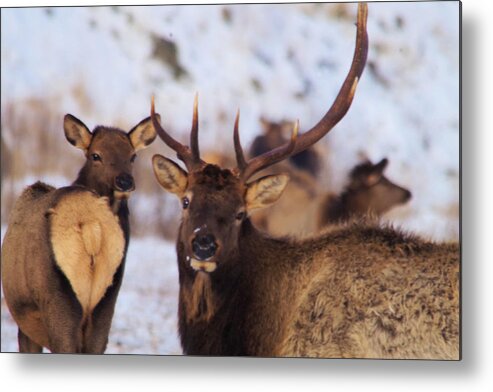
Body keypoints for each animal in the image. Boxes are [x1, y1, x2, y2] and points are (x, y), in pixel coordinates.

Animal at [0, 113, 156, 352]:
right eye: (96, 155)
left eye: (133, 156)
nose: (125, 181)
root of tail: (90, 225)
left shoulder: (26, 324)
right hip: (106, 299)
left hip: (58, 299)